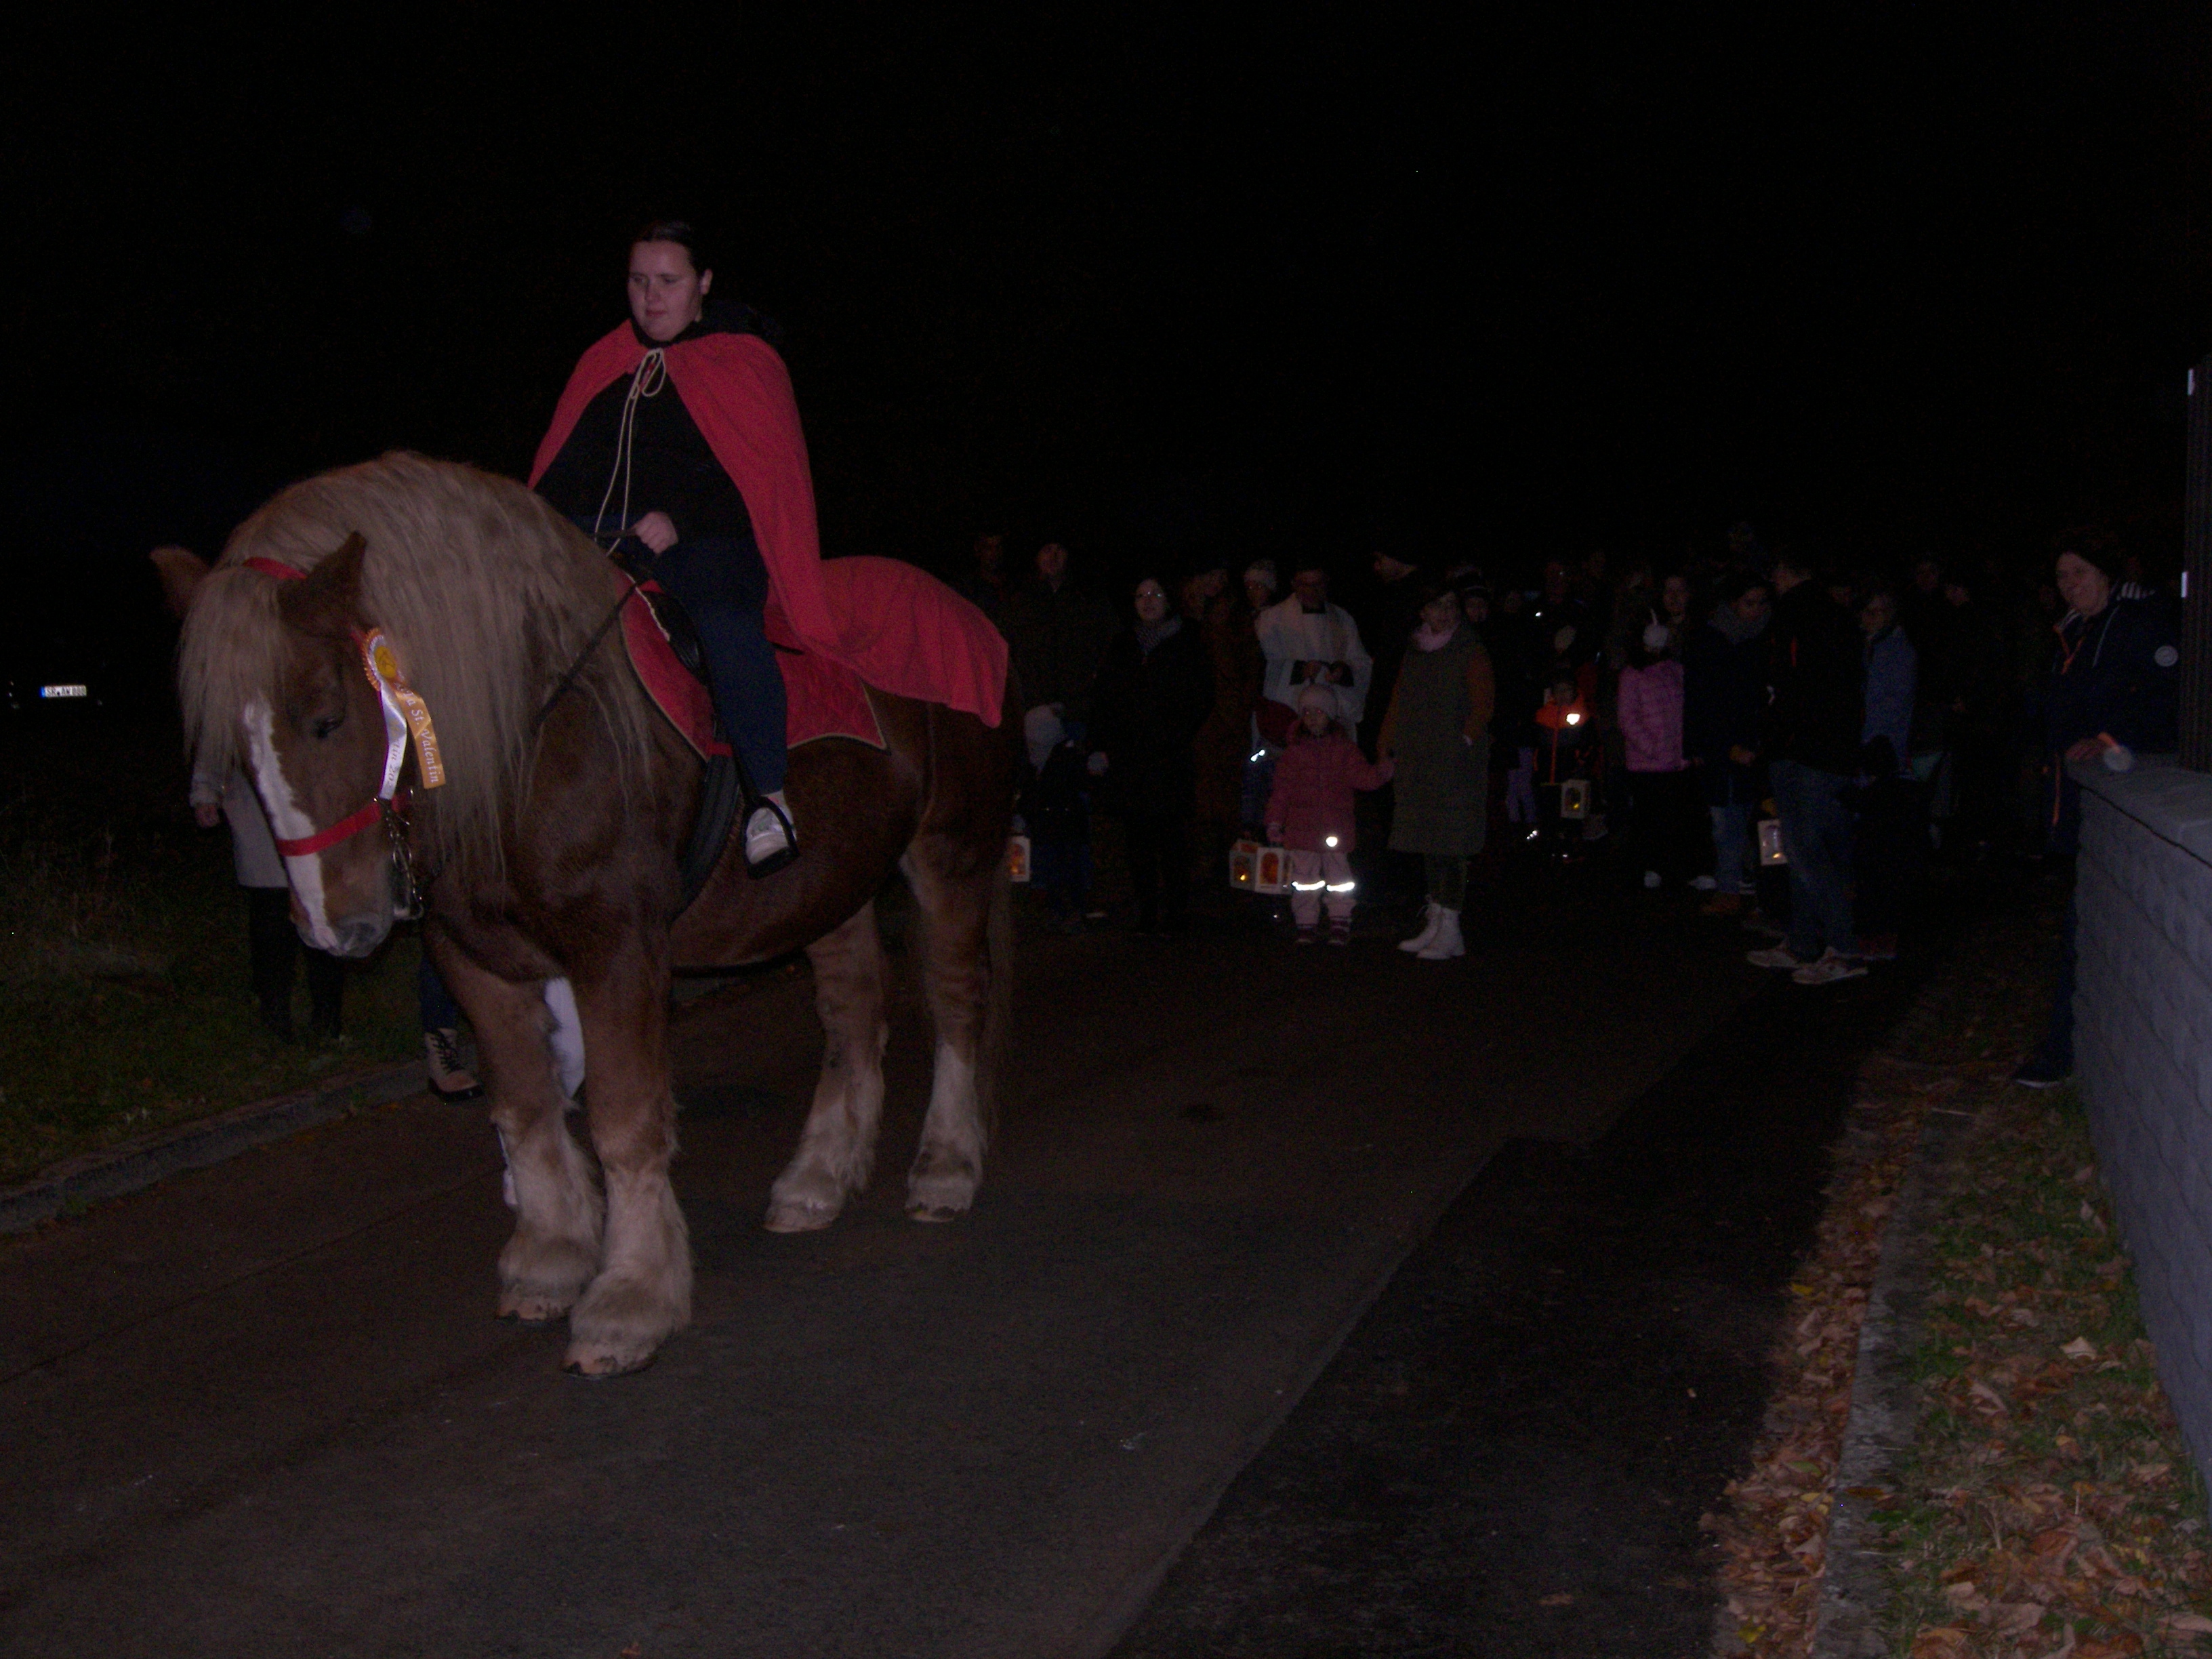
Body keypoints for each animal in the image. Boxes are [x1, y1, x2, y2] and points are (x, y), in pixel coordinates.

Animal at [163, 451, 1017, 1380]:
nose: (333, 928)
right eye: (236, 754)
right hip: (831, 881)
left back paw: (946, 1165)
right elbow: (525, 1106)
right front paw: (550, 1256)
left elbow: (623, 1118)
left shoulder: (618, 951)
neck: (525, 740)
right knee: (854, 1009)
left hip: (948, 851)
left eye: (326, 717)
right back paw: (818, 1178)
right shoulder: (476, 960)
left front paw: (631, 1296)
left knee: (957, 1000)